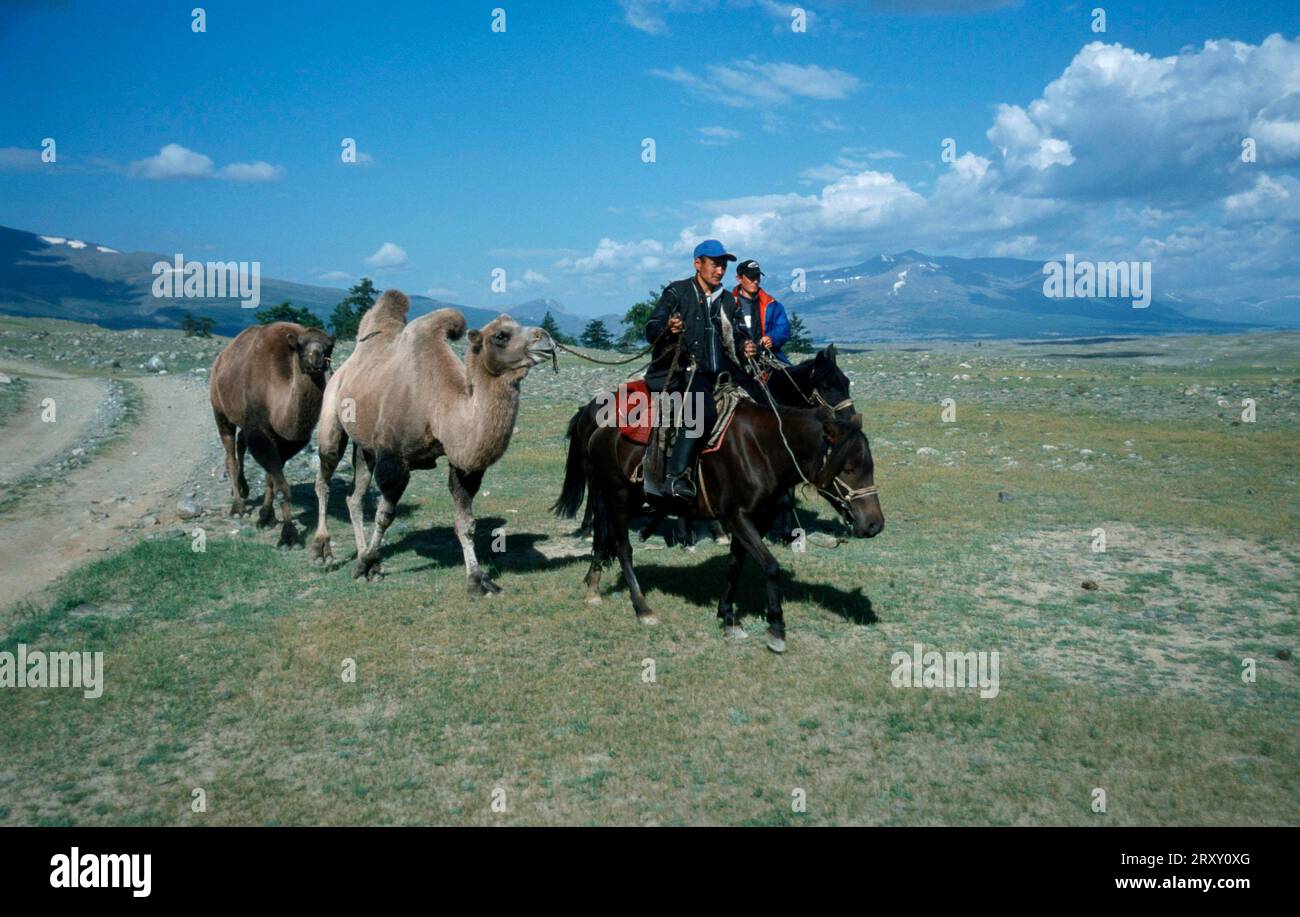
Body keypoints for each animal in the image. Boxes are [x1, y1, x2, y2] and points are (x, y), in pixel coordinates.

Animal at [208, 319, 335, 543]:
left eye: (329, 346)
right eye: (300, 346)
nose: (317, 358)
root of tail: (220, 360)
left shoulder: (289, 441)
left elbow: (271, 477)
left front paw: (267, 516)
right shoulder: (260, 430)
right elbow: (281, 485)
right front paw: (289, 534)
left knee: (240, 443)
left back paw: (243, 489)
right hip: (220, 409)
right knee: (230, 454)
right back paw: (238, 506)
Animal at [314, 290, 559, 590]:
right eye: (500, 335)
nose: (545, 337)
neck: (438, 406)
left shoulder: (462, 462)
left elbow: (466, 522)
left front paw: (477, 579)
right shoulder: (392, 456)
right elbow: (385, 515)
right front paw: (366, 563)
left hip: (365, 446)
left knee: (354, 497)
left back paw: (362, 554)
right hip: (332, 411)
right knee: (325, 476)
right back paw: (323, 551)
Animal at [551, 400, 883, 650]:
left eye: (869, 465)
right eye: (849, 468)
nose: (874, 525)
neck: (763, 449)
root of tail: (600, 428)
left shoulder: (753, 521)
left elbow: (736, 565)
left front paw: (727, 617)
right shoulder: (736, 517)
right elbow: (770, 566)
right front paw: (776, 628)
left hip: (625, 499)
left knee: (603, 538)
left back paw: (593, 588)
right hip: (617, 496)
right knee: (622, 548)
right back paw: (643, 609)